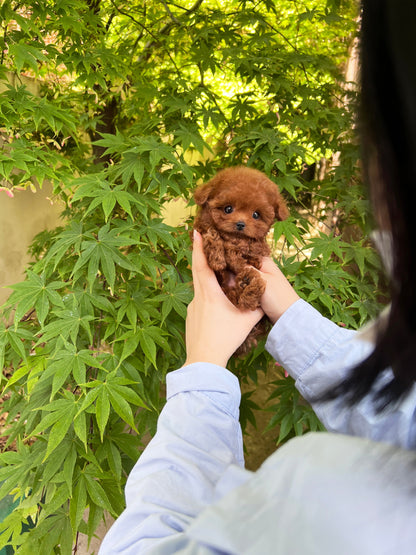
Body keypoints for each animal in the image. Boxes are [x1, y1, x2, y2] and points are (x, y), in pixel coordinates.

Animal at [193, 166, 288, 356]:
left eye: (256, 215)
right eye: (228, 209)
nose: (240, 224)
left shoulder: (257, 255)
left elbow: (251, 252)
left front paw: (237, 252)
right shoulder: (200, 231)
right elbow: (211, 234)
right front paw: (217, 254)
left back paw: (248, 285)